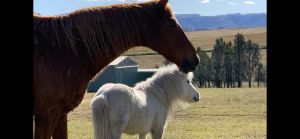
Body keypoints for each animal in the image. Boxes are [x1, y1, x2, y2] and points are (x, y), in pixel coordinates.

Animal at [33, 0, 199, 138]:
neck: (66, 49)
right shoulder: (47, 116)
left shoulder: (61, 115)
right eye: (172, 23)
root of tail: (102, 97)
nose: (195, 59)